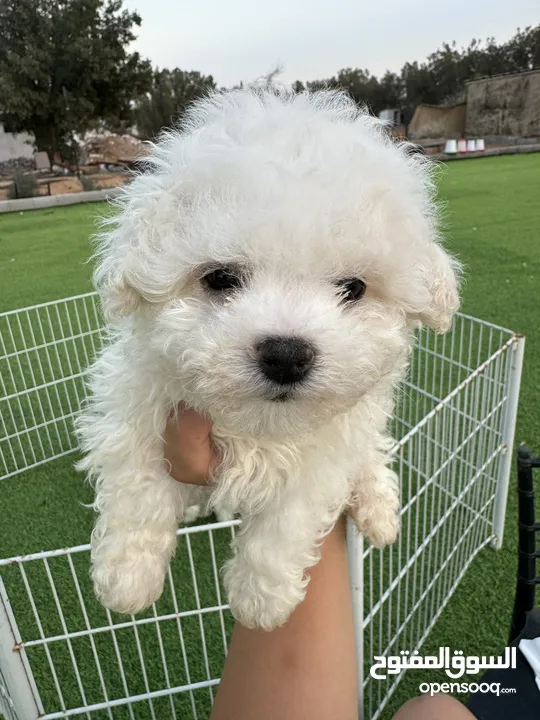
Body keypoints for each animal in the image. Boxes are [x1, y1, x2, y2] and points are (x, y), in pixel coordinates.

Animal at [77, 88, 460, 632]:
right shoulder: (138, 401)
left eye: (353, 288)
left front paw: (262, 600)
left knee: (370, 456)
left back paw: (379, 510)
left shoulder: (327, 451)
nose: (285, 354)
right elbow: (138, 480)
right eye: (220, 278)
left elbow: (288, 518)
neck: (256, 427)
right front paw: (127, 578)